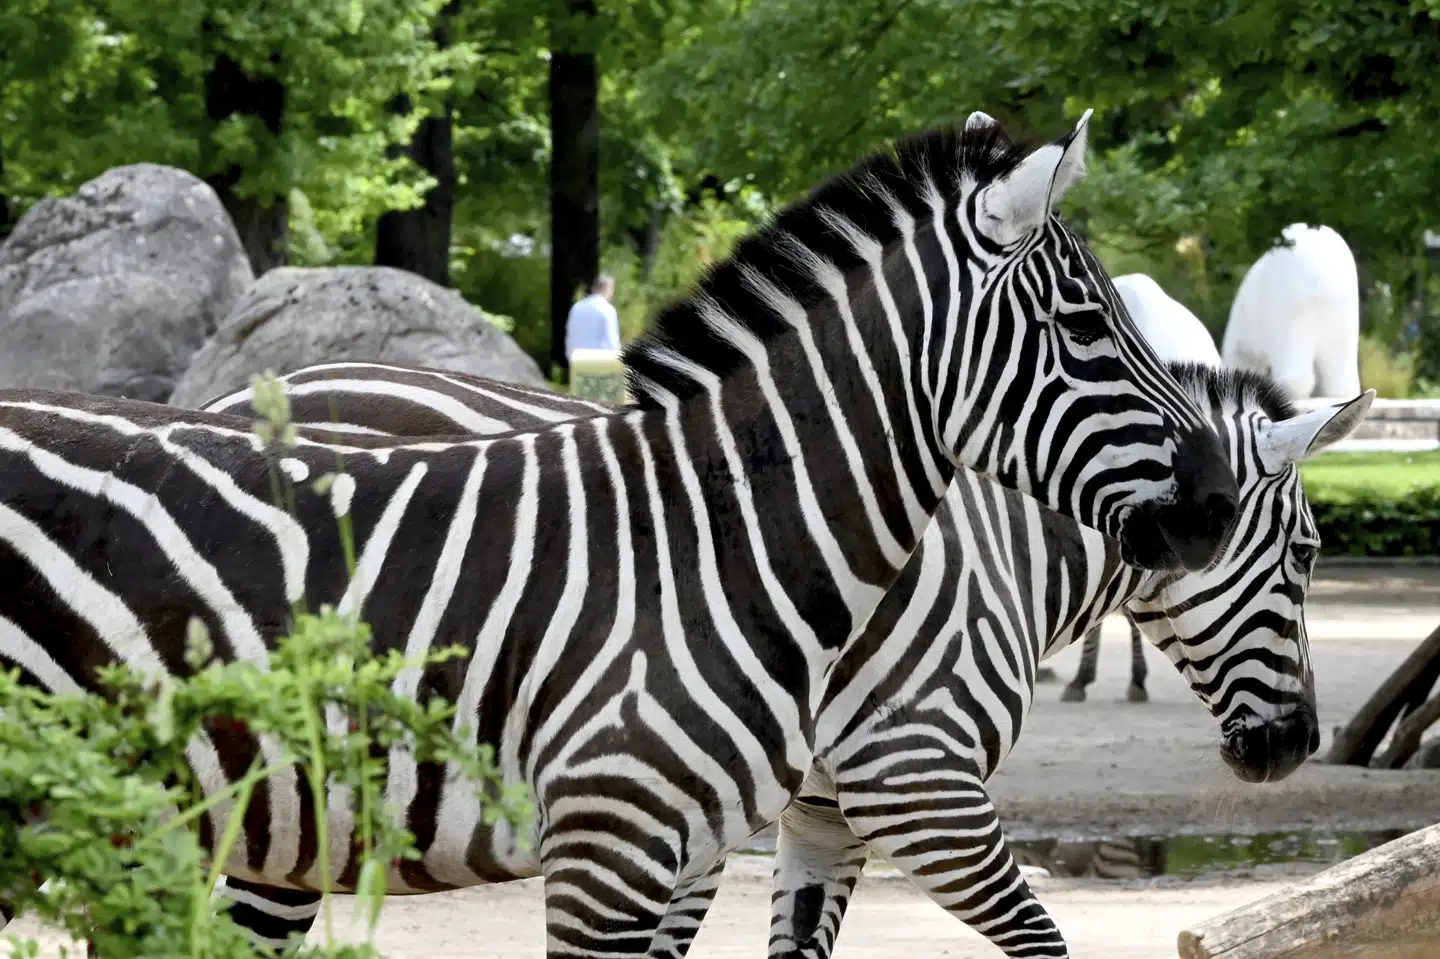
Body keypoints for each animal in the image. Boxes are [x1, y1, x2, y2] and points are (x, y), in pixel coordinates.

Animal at [194, 358, 1369, 957]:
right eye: (1310, 553)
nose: (1296, 744)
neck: (1004, 545)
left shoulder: (818, 811)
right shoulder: (916, 782)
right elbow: (1044, 943)